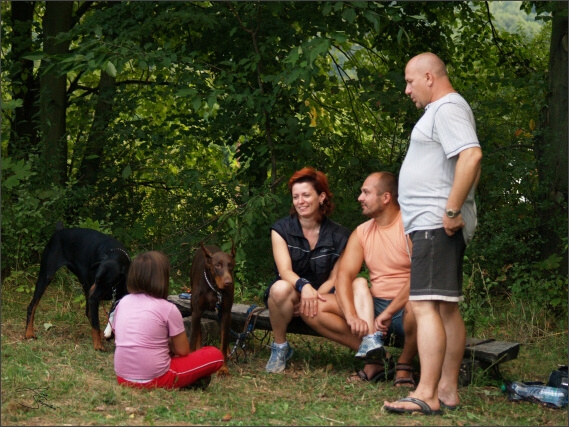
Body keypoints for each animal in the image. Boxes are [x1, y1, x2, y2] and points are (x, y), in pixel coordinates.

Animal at [24, 222, 130, 350]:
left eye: (109, 284)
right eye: (96, 278)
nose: (92, 298)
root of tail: (59, 231)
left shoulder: (118, 297)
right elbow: (96, 324)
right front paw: (98, 346)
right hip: (46, 276)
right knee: (32, 306)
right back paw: (29, 333)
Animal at [191, 244, 235, 378]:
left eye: (231, 265)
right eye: (218, 265)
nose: (228, 283)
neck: (214, 288)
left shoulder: (226, 312)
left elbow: (223, 341)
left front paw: (223, 368)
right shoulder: (196, 311)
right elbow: (193, 338)